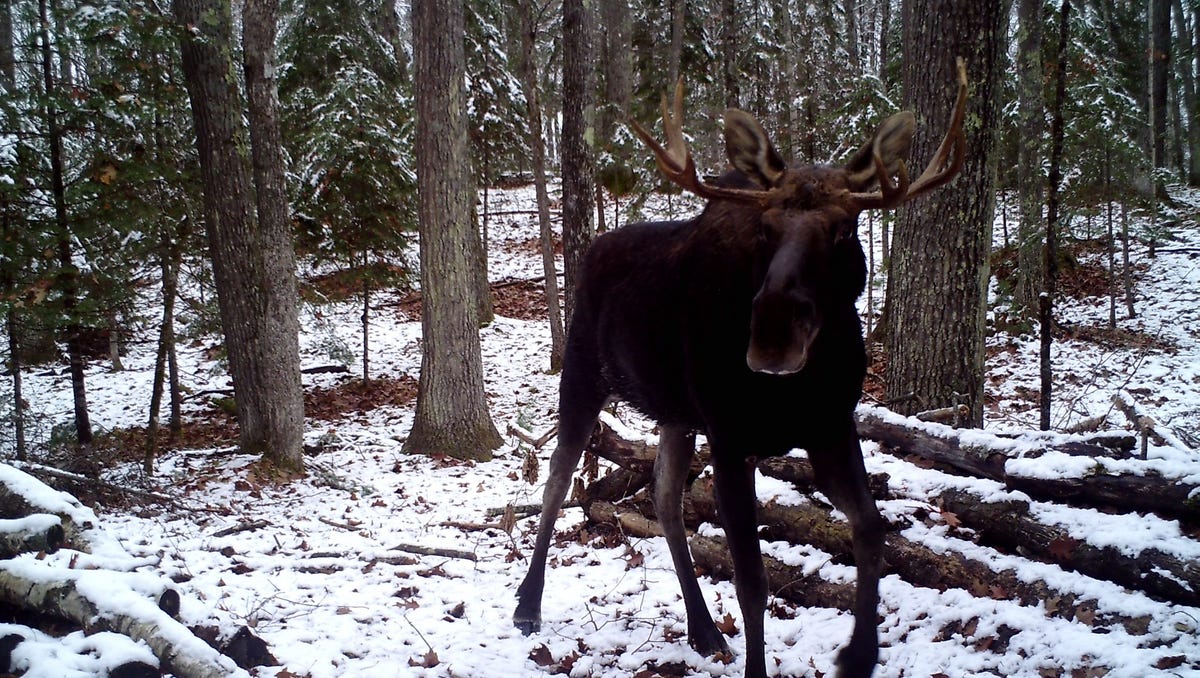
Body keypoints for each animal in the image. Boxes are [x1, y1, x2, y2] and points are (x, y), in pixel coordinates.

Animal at [514, 59, 968, 678]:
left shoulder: (831, 427)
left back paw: (704, 628)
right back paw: (527, 604)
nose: (773, 336)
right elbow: (752, 584)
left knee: (663, 495)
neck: (798, 389)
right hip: (583, 372)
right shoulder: (732, 440)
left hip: (675, 411)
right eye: (765, 230)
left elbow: (872, 531)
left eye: (844, 228)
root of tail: (591, 249)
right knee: (558, 479)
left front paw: (858, 653)